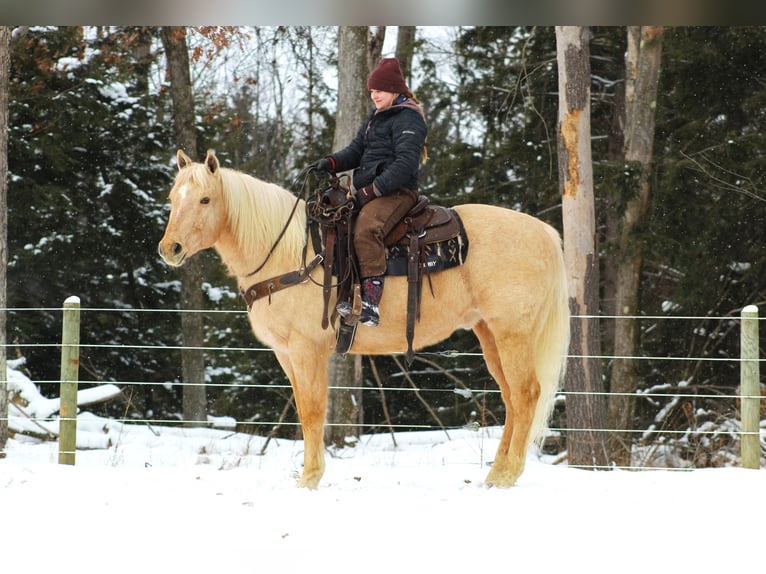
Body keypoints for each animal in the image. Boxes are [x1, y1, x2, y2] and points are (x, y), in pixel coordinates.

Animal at [158, 150, 568, 490]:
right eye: (172, 199)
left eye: (205, 199)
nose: (169, 249)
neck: (292, 255)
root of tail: (545, 233)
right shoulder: (286, 355)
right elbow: (303, 410)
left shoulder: (307, 351)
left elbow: (312, 412)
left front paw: (309, 479)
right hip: (489, 334)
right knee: (511, 398)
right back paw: (495, 474)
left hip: (513, 334)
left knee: (527, 394)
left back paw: (509, 475)